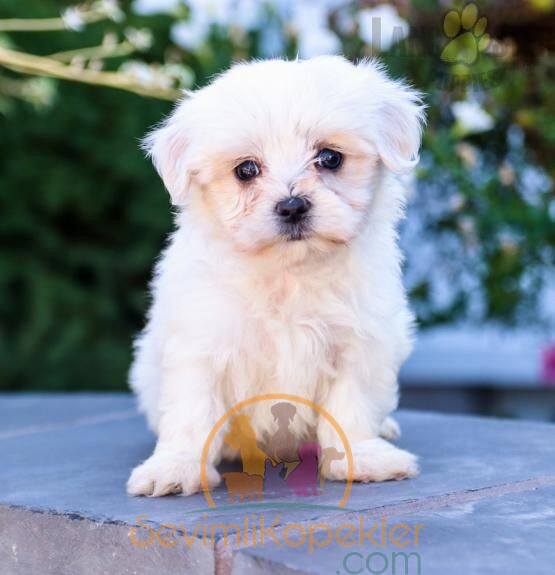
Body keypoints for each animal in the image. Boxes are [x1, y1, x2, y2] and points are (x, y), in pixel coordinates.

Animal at [128, 59, 428, 500]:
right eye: (246, 170)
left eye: (330, 158)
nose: (292, 205)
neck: (287, 272)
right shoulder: (202, 344)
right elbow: (192, 410)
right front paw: (175, 466)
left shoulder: (361, 341)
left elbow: (353, 403)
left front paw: (362, 457)